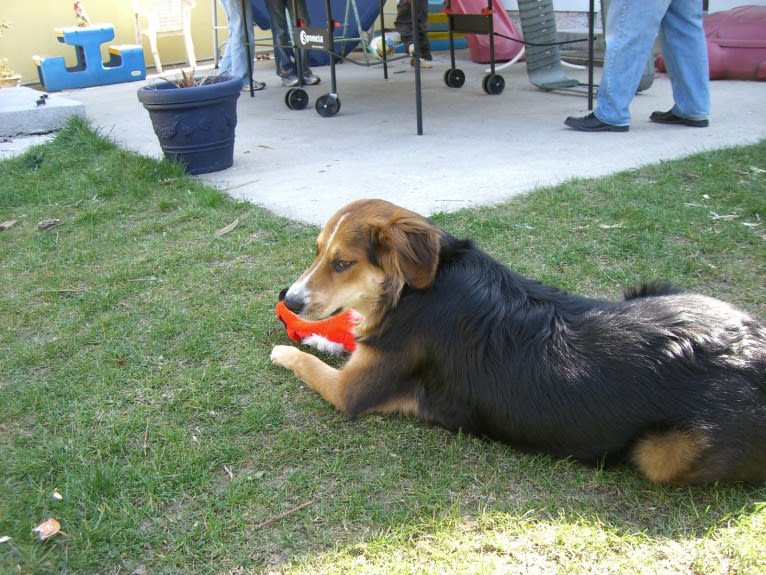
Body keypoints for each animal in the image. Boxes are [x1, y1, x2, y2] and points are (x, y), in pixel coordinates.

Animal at [272, 200, 766, 484]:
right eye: (317, 252)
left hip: (663, 452)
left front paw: (286, 349)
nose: (288, 299)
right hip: (652, 289)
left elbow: (308, 363)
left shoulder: (350, 391)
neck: (414, 288)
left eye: (342, 263)